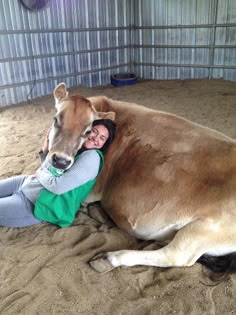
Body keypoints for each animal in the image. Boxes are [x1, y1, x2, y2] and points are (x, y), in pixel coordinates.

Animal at [47, 83, 236, 274]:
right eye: (56, 119)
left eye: (88, 130)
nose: (61, 160)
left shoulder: (93, 188)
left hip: (202, 230)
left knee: (176, 255)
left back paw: (109, 258)